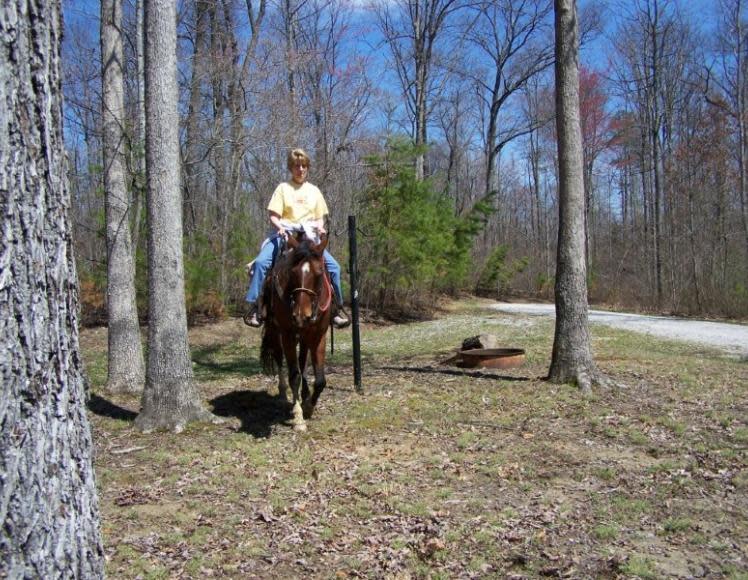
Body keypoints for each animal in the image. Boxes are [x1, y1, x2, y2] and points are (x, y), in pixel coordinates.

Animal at [259, 232, 333, 431]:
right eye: (293, 273)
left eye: (319, 272)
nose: (301, 315)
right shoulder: (288, 335)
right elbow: (294, 376)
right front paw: (299, 417)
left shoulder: (318, 335)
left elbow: (320, 379)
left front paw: (309, 406)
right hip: (275, 331)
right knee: (279, 358)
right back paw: (284, 395)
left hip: (305, 336)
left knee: (302, 361)